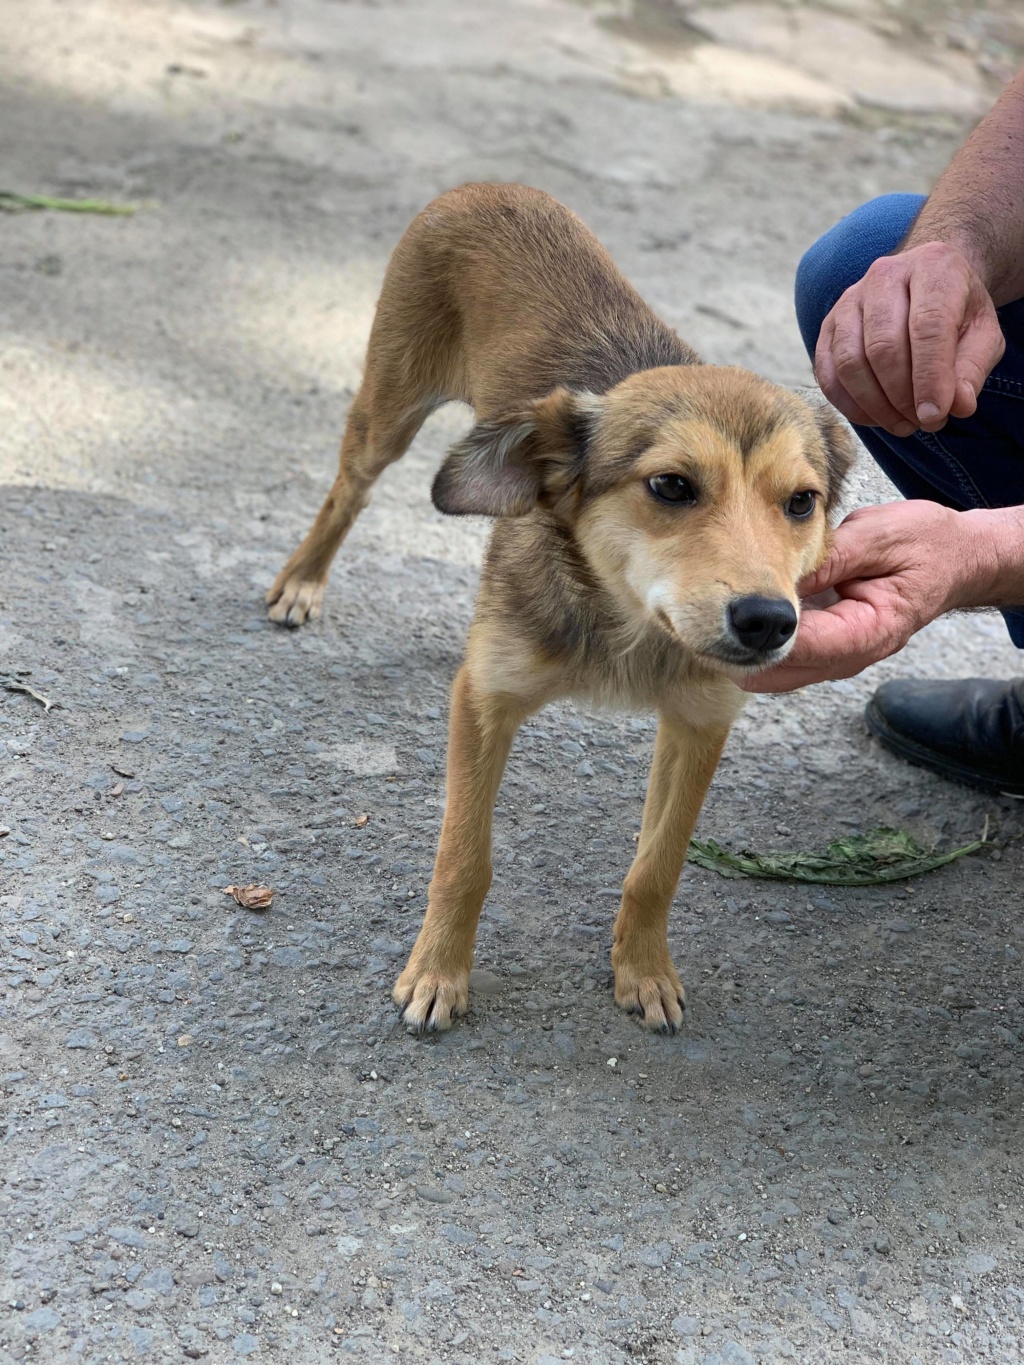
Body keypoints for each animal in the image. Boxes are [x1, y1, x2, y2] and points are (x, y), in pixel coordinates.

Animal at [268, 181, 851, 1031]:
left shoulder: (700, 721)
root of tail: (491, 185)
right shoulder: (485, 700)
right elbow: (464, 855)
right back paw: (302, 579)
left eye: (802, 502)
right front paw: (438, 971)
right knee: (349, 489)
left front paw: (643, 969)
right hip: (390, 402)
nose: (768, 621)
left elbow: (657, 865)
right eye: (671, 485)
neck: (626, 626)